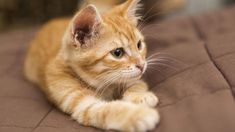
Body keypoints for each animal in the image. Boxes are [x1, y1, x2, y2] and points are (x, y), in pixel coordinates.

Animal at [23, 0, 160, 131]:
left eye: (139, 45)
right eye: (117, 53)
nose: (142, 65)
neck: (103, 84)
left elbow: (137, 83)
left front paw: (140, 96)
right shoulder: (79, 102)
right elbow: (105, 110)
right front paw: (139, 115)